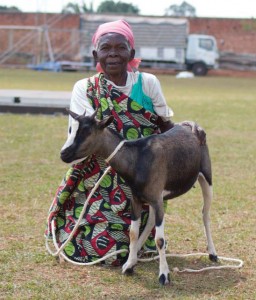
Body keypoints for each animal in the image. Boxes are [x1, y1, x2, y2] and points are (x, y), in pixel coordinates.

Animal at [61, 109, 217, 284]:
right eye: (71, 129)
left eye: (86, 131)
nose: (63, 154)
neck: (137, 159)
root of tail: (190, 128)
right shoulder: (137, 199)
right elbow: (133, 233)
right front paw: (129, 265)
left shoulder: (156, 198)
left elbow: (160, 239)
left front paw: (164, 275)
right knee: (151, 221)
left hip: (206, 177)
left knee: (205, 214)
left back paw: (212, 253)